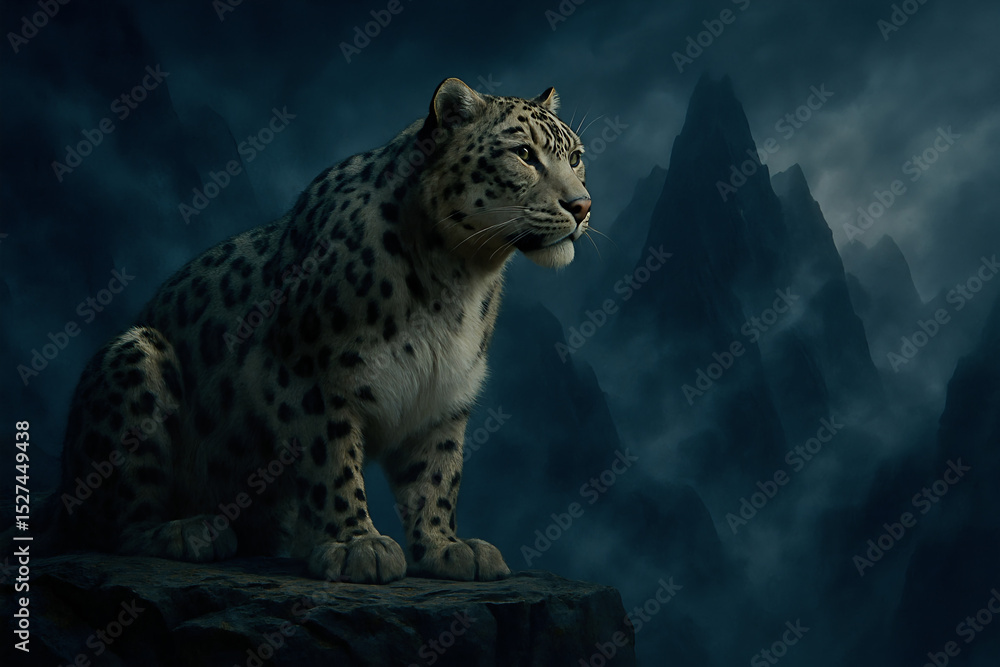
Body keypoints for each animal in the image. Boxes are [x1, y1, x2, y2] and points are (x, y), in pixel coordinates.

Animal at [49, 77, 591, 584]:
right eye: (524, 154)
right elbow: (333, 460)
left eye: (577, 157)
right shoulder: (306, 374)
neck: (458, 279)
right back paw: (192, 531)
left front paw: (446, 546)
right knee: (114, 521)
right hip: (133, 357)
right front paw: (358, 545)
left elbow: (437, 474)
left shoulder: (444, 394)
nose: (582, 206)